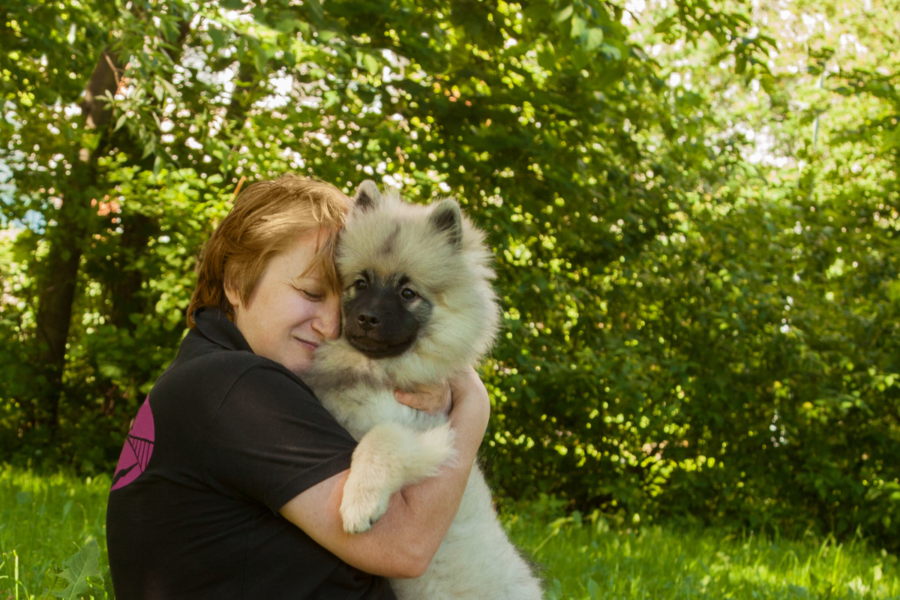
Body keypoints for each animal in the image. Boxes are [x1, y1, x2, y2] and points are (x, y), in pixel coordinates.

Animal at [306, 182, 540, 600]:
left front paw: (359, 502)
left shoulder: (430, 438)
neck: (379, 371)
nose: (367, 318)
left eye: (408, 293)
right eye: (360, 284)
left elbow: (381, 440)